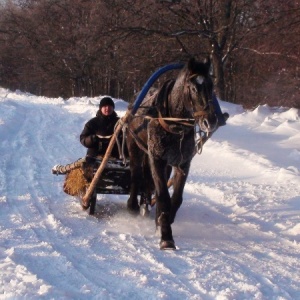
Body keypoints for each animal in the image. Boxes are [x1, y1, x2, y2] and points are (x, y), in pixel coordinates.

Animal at [125, 58, 217, 248]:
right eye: (194, 88)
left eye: (211, 86)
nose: (210, 121)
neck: (173, 124)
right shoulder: (157, 159)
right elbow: (162, 196)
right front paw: (166, 236)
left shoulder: (183, 163)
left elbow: (176, 198)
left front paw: (162, 222)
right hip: (134, 146)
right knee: (136, 174)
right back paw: (133, 205)